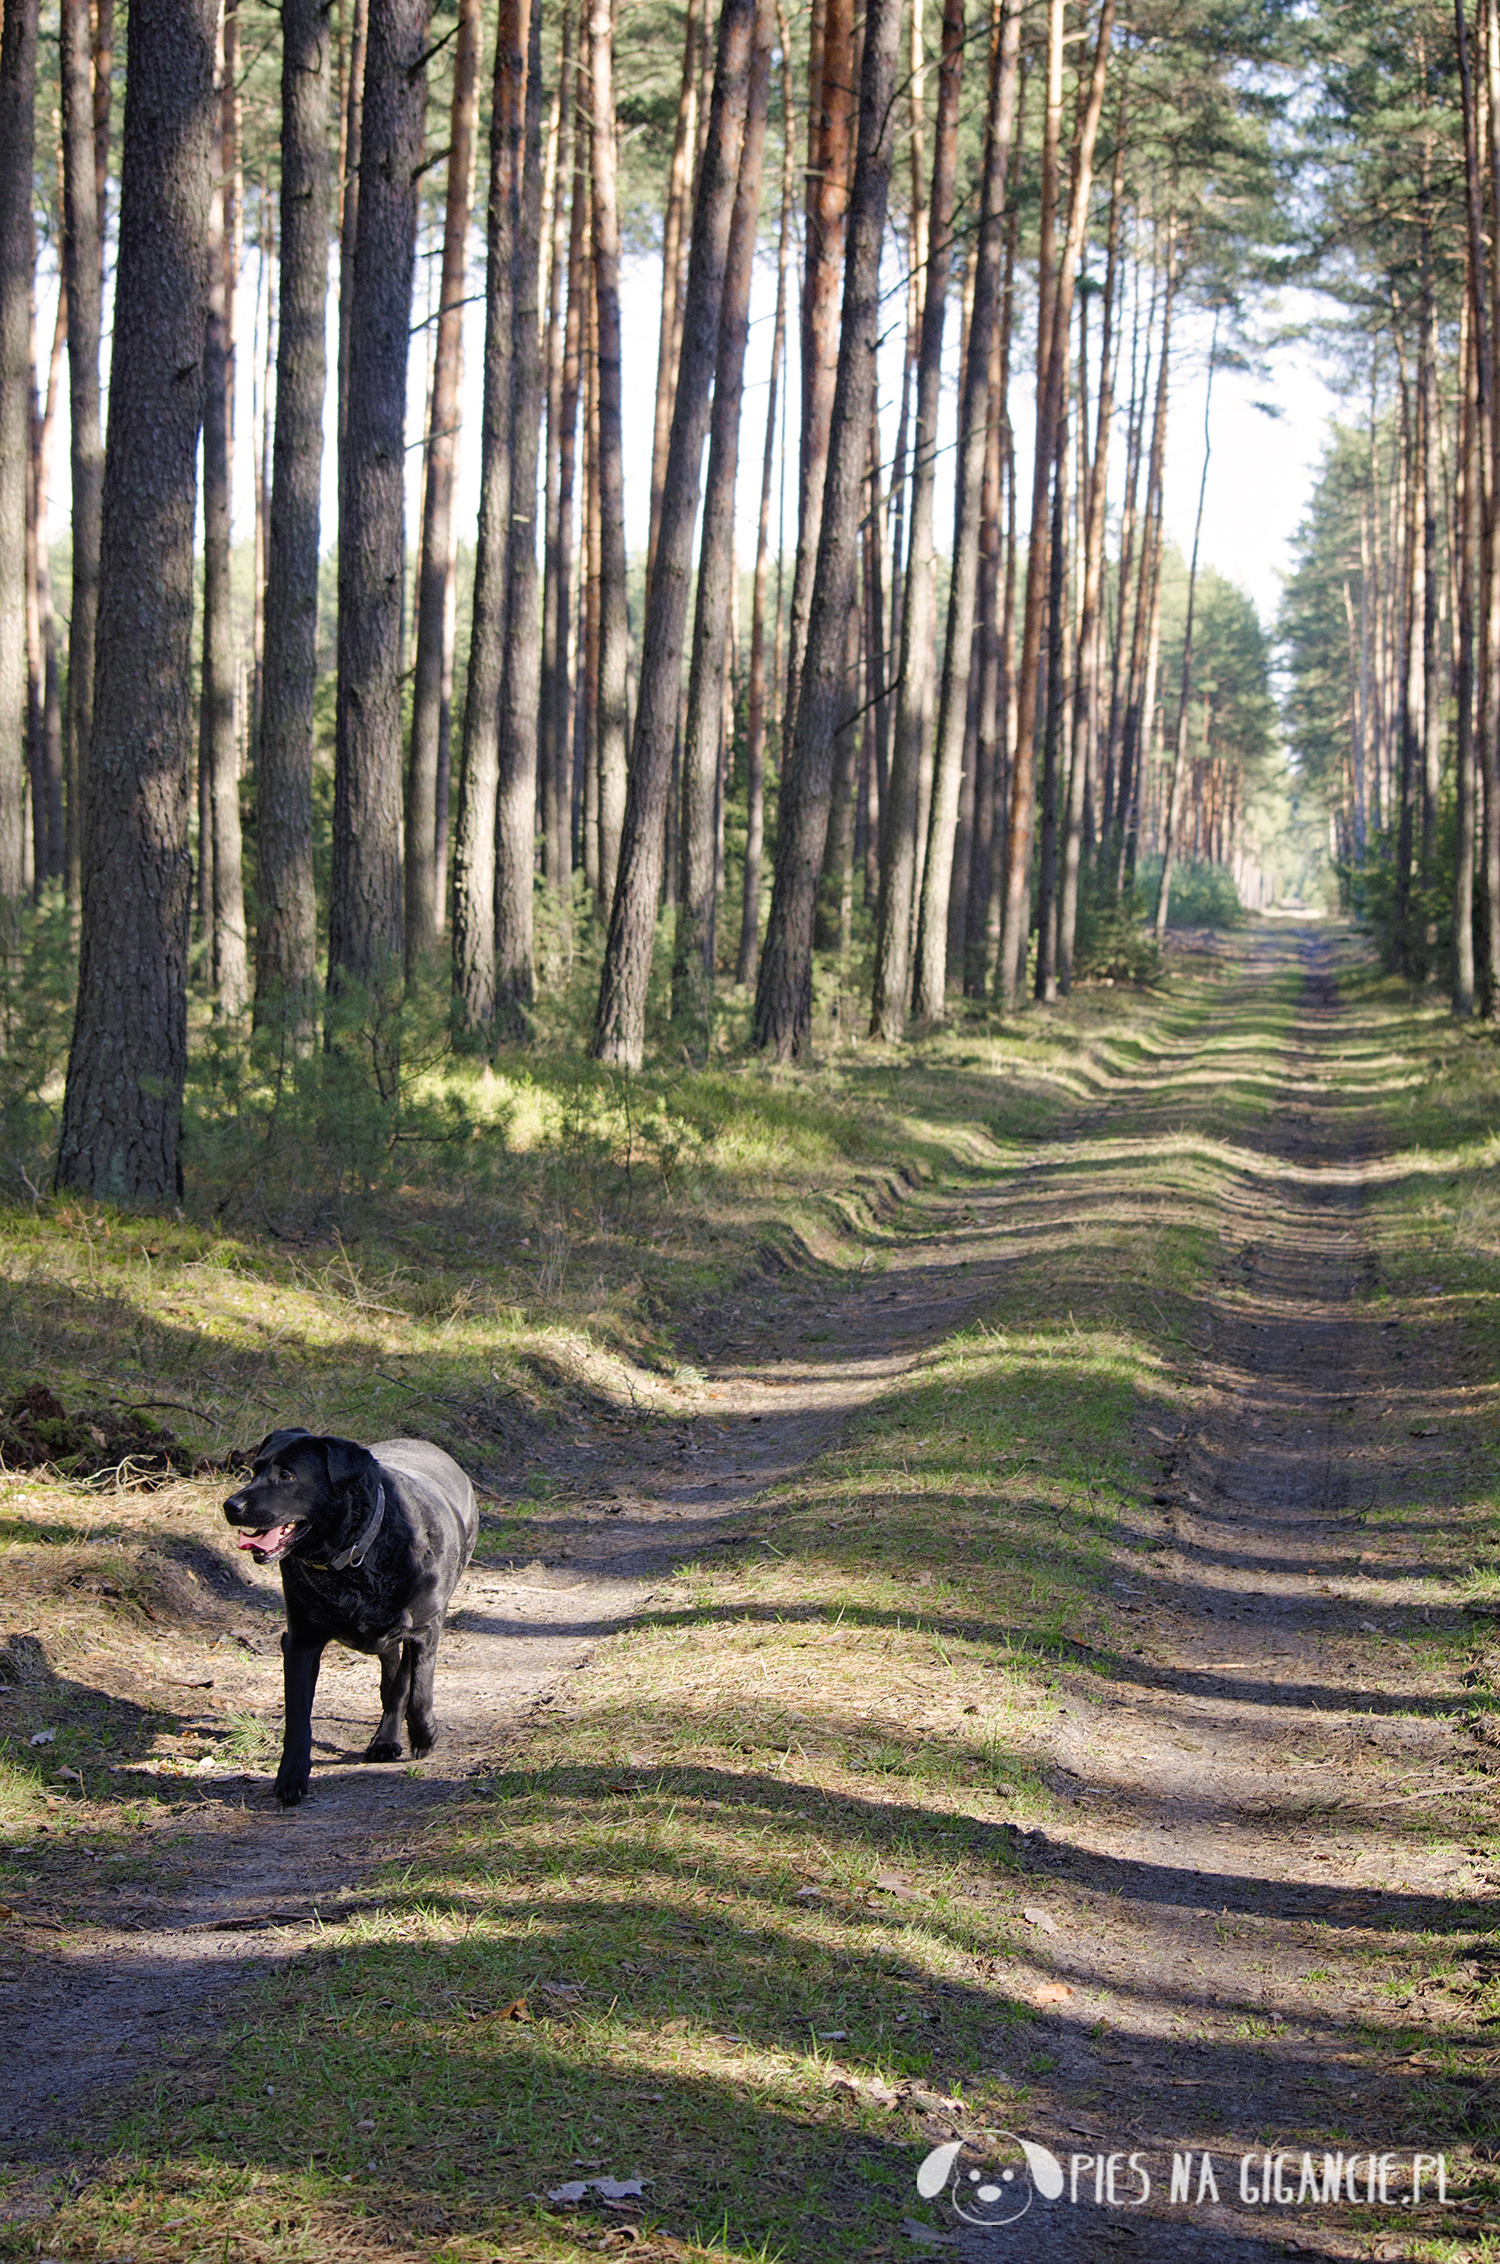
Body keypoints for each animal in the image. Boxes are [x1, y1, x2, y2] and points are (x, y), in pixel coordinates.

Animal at [222, 1430, 475, 1802]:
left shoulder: (424, 1628)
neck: (352, 1557)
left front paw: (424, 1734)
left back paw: (389, 1737)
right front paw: (291, 1776)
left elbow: (418, 1689)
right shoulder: (301, 1640)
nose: (231, 1506)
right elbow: (298, 1715)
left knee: (401, 1683)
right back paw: (385, 1738)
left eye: (287, 1476)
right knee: (390, 1678)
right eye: (254, 1470)